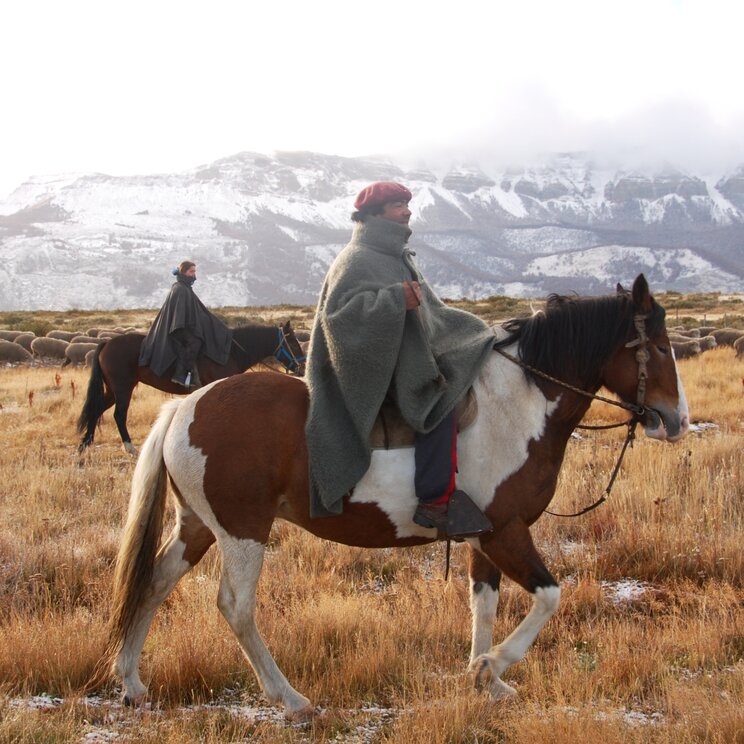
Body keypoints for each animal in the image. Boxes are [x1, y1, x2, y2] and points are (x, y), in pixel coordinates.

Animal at [77, 321, 305, 454]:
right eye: (293, 342)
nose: (302, 367)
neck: (230, 351)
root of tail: (106, 344)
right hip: (123, 388)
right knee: (119, 415)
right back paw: (129, 448)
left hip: (113, 390)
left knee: (96, 409)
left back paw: (84, 445)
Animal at [102, 274, 689, 719]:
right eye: (660, 347)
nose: (676, 420)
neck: (515, 405)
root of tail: (186, 406)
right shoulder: (506, 531)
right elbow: (549, 597)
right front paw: (492, 666)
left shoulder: (483, 537)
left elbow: (484, 604)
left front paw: (486, 680)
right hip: (243, 532)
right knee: (236, 608)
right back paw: (291, 699)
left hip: (198, 526)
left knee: (153, 582)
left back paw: (132, 683)